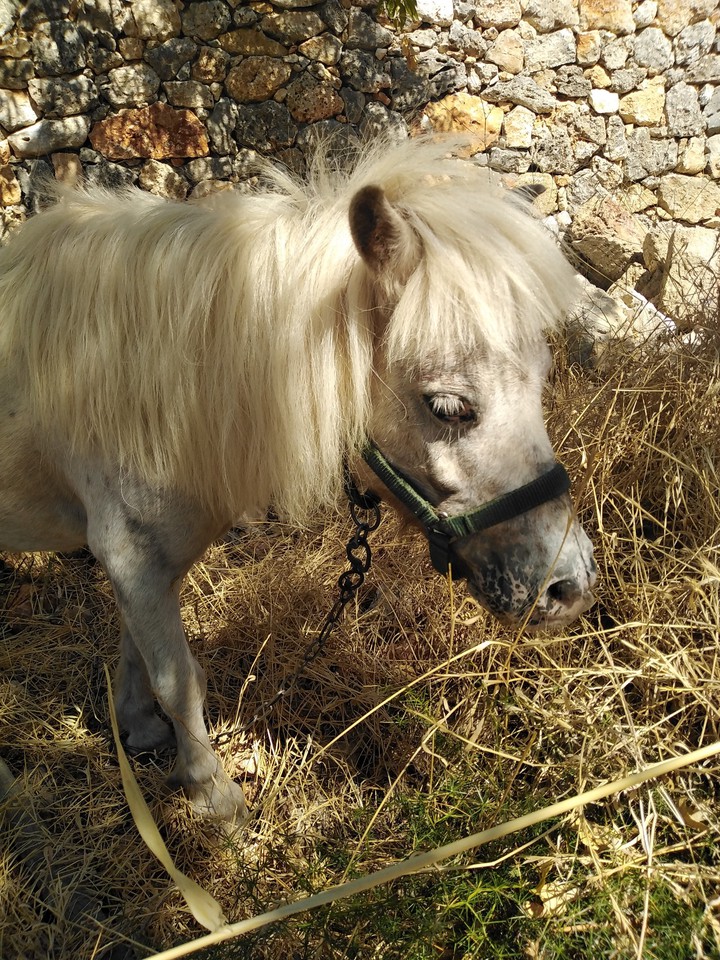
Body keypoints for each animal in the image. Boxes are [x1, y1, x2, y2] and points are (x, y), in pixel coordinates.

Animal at [0, 138, 596, 822]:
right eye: (448, 407)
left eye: (543, 376)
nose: (571, 586)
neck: (138, 382)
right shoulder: (130, 553)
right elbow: (179, 676)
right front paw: (211, 794)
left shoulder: (142, 561)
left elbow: (139, 652)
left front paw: (141, 731)